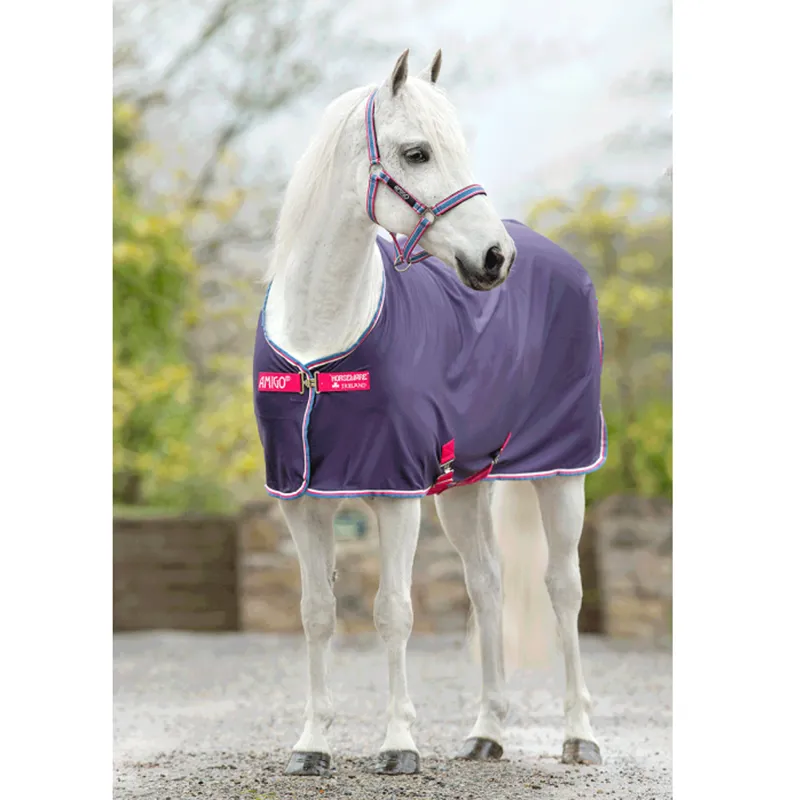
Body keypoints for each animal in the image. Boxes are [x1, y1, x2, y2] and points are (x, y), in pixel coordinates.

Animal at [253, 49, 606, 776]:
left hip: (563, 473)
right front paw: (312, 744)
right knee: (488, 585)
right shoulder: (300, 499)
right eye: (416, 152)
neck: (320, 341)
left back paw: (579, 735)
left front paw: (397, 745)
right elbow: (316, 611)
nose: (495, 259)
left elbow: (393, 611)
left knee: (564, 588)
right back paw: (487, 733)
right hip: (465, 488)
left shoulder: (396, 494)